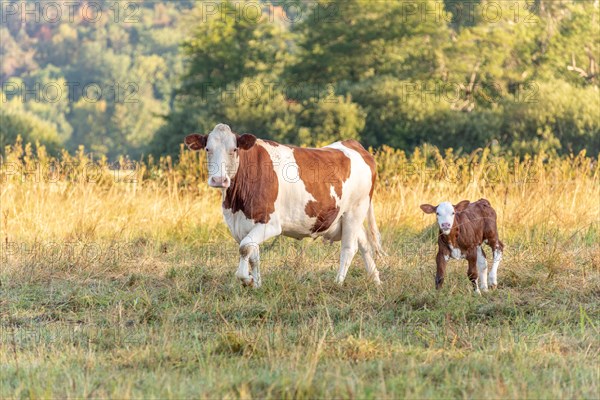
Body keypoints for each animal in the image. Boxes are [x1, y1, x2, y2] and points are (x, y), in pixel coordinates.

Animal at [183, 122, 384, 288]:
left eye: (234, 149)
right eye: (207, 149)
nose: (219, 180)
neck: (236, 204)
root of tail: (353, 144)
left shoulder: (270, 223)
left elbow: (245, 247)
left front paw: (247, 279)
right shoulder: (241, 225)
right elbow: (253, 253)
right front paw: (257, 284)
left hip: (355, 211)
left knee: (349, 249)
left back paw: (338, 283)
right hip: (346, 217)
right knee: (365, 244)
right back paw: (376, 281)